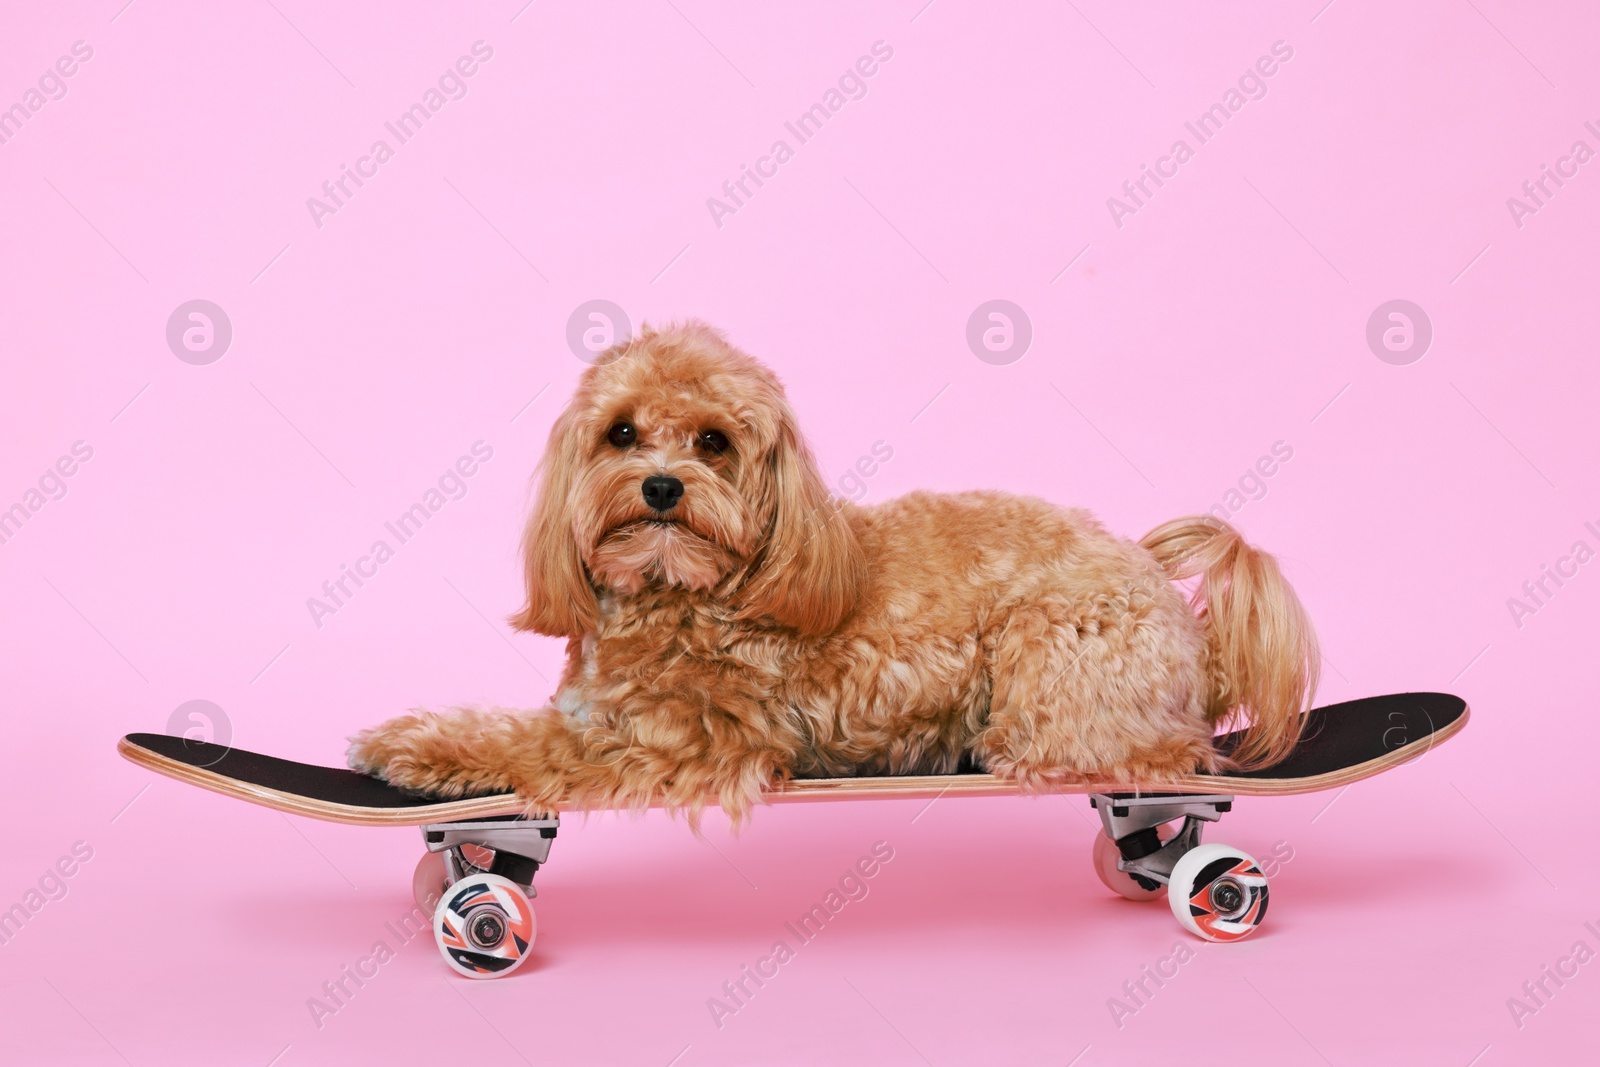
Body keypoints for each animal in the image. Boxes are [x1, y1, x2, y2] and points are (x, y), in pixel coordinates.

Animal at [356, 321, 1318, 825]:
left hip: (1052, 662)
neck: (689, 596)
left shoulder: (690, 742)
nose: (662, 486)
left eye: (715, 441)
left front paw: (417, 749)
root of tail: (1186, 624)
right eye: (621, 432)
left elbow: (537, 747)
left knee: (1145, 753)